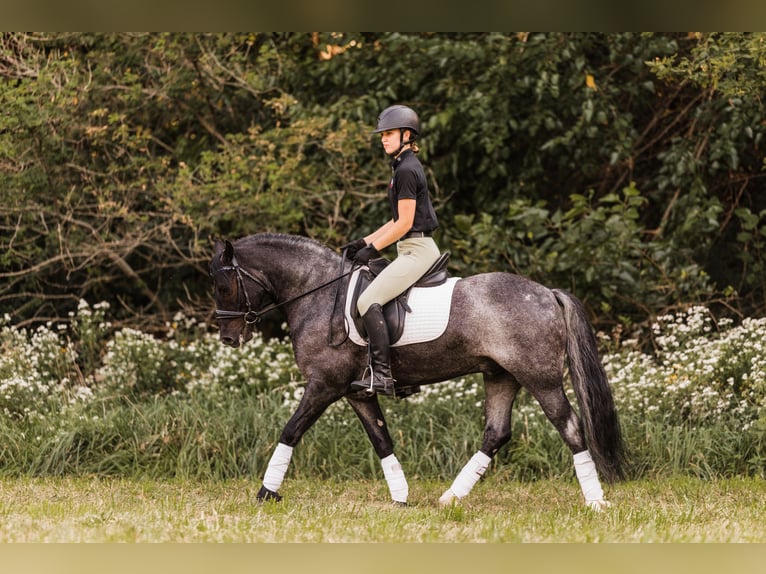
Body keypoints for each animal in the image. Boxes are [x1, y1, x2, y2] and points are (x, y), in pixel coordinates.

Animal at [209, 233, 626, 510]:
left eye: (224, 286)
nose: (228, 337)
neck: (317, 293)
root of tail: (547, 293)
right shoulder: (356, 391)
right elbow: (381, 440)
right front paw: (401, 497)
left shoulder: (324, 384)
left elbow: (291, 430)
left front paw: (266, 493)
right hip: (500, 376)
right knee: (496, 433)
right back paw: (449, 498)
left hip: (540, 378)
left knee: (570, 426)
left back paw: (596, 501)